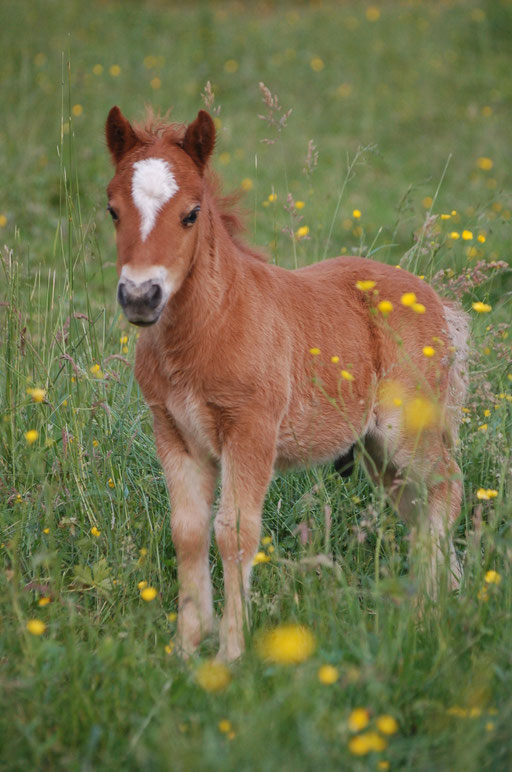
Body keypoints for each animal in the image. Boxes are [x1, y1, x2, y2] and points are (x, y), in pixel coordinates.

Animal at [106, 107, 470, 664]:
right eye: (112, 211)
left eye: (191, 213)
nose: (141, 296)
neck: (208, 326)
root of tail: (434, 300)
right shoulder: (172, 432)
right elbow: (188, 532)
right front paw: (187, 648)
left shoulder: (251, 430)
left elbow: (235, 532)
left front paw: (231, 653)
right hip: (375, 448)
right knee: (416, 503)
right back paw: (444, 597)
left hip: (406, 429)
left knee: (446, 486)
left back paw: (427, 611)